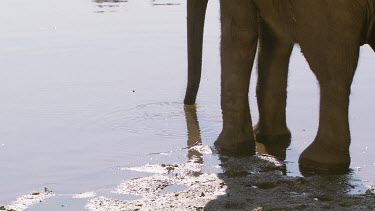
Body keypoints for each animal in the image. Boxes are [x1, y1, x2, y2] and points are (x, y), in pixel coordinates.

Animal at [184, 0, 375, 175]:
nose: (188, 105)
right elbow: (275, 38)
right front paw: (269, 138)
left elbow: (239, 31)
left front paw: (227, 148)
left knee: (332, 66)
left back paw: (317, 163)